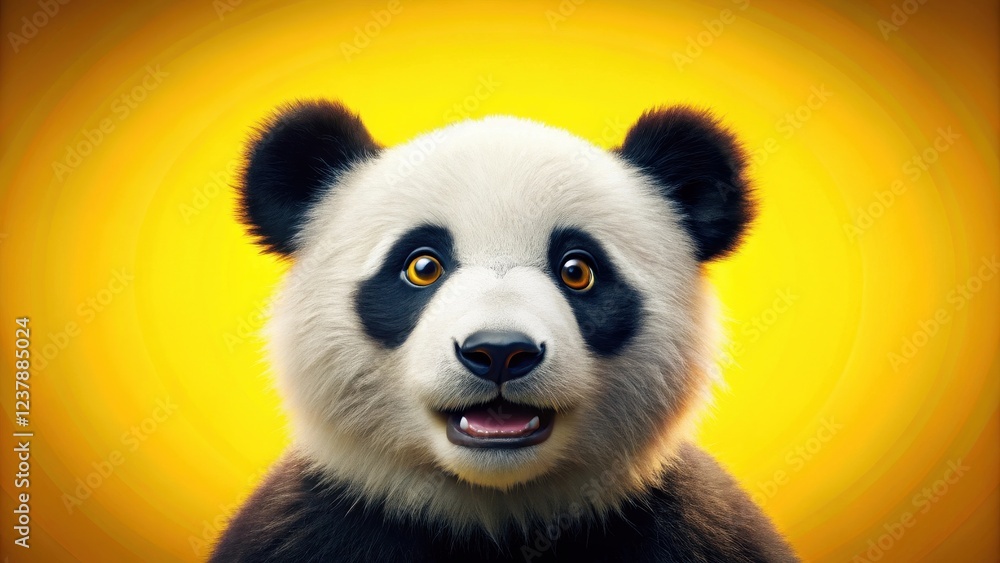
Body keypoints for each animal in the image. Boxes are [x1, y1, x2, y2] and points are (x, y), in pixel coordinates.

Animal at [211, 99, 798, 562]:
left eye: (577, 270)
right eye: (422, 266)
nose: (499, 352)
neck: (495, 515)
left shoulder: (694, 531)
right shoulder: (307, 529)